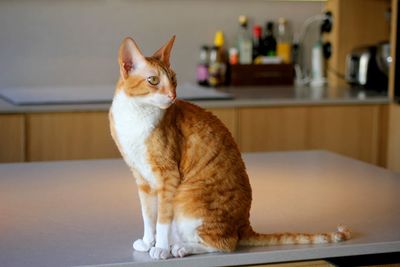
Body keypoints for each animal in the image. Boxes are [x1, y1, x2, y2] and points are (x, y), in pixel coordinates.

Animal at [109, 36, 350, 260]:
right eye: (153, 80)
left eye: (174, 80)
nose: (173, 96)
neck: (136, 115)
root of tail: (244, 225)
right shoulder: (142, 179)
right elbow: (148, 216)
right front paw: (147, 241)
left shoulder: (167, 178)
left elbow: (162, 220)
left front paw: (159, 247)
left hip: (187, 202)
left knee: (224, 244)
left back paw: (180, 247)